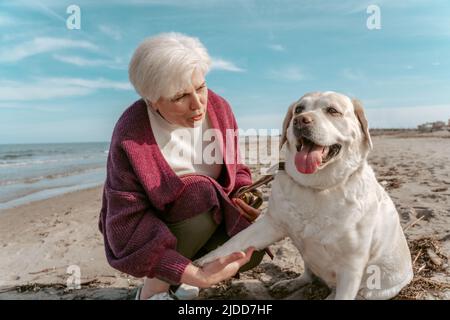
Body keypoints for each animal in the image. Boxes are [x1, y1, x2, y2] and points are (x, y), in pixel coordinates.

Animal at [195, 91, 414, 298]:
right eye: (299, 109)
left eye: (332, 111)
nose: (300, 120)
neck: (318, 186)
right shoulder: (271, 224)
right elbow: (235, 241)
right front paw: (204, 263)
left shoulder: (352, 267)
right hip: (308, 259)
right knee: (308, 275)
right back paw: (289, 284)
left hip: (373, 288)